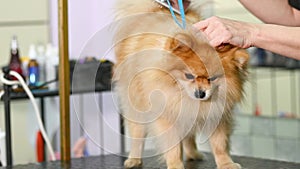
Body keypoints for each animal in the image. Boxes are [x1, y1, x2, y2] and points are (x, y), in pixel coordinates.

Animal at [112, 0, 248, 169]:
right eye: (189, 76)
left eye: (212, 78)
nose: (200, 93)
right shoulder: (168, 117)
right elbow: (173, 147)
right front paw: (175, 164)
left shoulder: (217, 116)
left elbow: (219, 144)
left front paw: (226, 163)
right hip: (137, 106)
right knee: (137, 133)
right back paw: (134, 159)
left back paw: (193, 154)